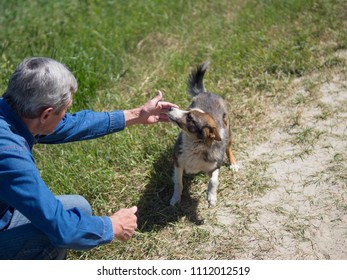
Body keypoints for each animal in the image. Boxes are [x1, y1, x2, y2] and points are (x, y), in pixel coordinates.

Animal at [168, 61, 239, 206]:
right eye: (187, 110)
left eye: (189, 117)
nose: (171, 108)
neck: (194, 145)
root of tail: (206, 92)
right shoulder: (178, 161)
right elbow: (178, 182)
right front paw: (176, 198)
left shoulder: (215, 165)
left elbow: (213, 180)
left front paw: (211, 197)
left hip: (229, 132)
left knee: (228, 148)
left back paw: (233, 164)